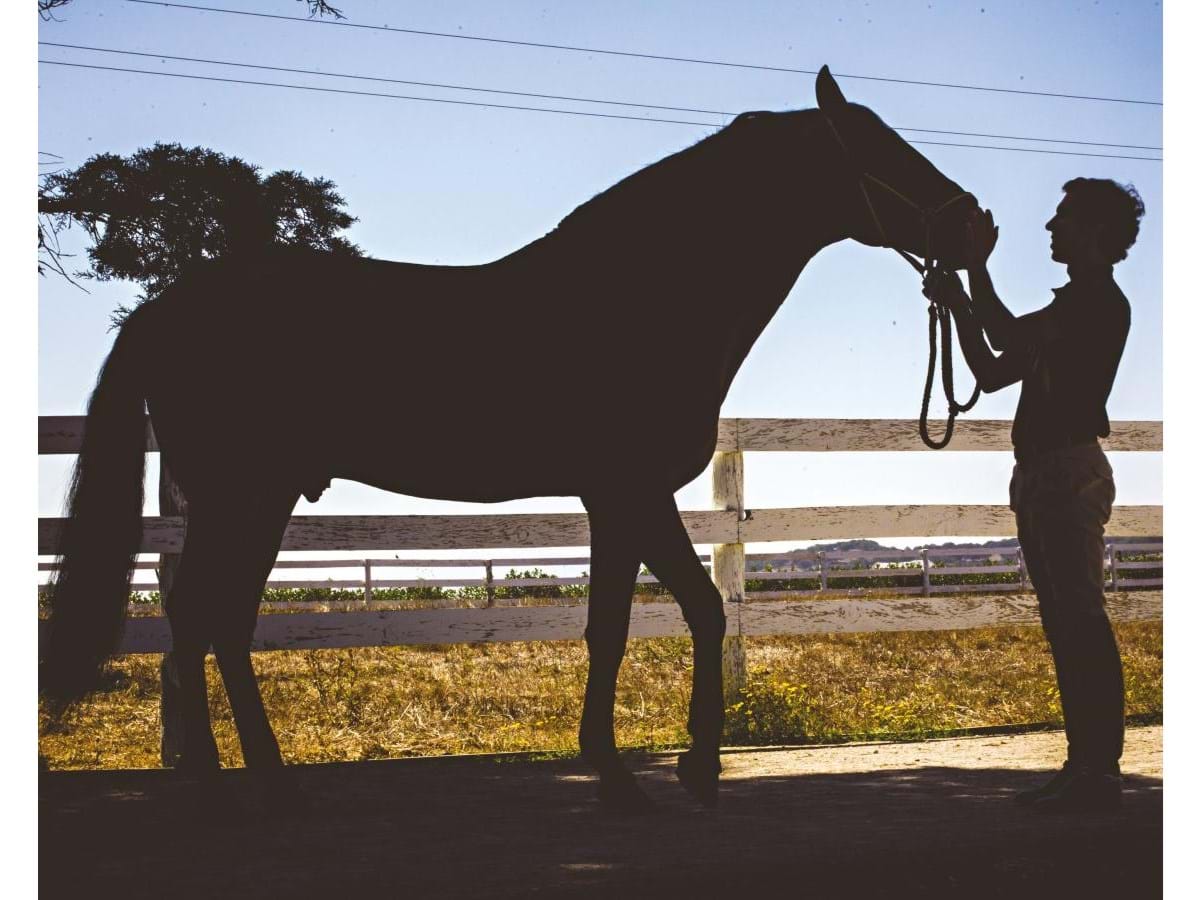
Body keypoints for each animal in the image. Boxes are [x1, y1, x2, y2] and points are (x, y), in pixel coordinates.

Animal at [42, 68, 979, 816]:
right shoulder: (631, 490)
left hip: (249, 502)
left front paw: (649, 767)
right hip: (245, 496)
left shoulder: (617, 501)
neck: (649, 293)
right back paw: (232, 782)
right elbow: (674, 615)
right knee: (204, 620)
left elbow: (639, 622)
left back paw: (260, 779)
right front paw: (670, 770)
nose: (982, 225)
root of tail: (164, 306)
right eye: (878, 146)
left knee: (216, 624)